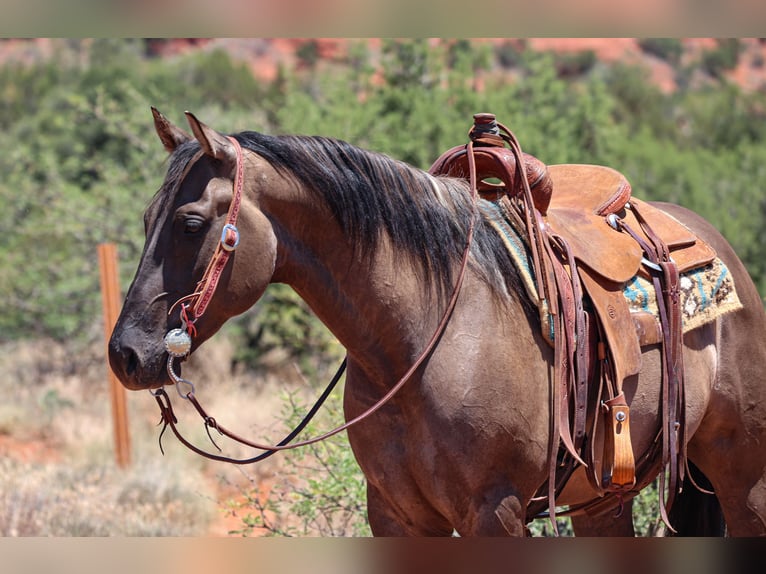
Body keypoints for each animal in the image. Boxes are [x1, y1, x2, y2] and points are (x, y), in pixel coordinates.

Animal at [108, 108, 766, 536]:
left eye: (191, 223)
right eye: (144, 218)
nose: (127, 355)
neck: (419, 341)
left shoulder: (495, 512)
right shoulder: (395, 515)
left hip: (743, 481)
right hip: (606, 496)